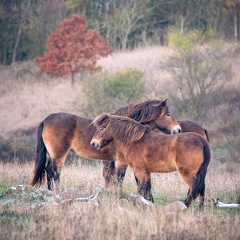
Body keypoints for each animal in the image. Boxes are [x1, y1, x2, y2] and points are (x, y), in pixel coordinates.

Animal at [29, 98, 180, 190]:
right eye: (168, 114)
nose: (178, 129)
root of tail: (45, 120)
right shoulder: (121, 161)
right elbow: (119, 178)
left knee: (48, 171)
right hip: (59, 155)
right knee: (54, 172)